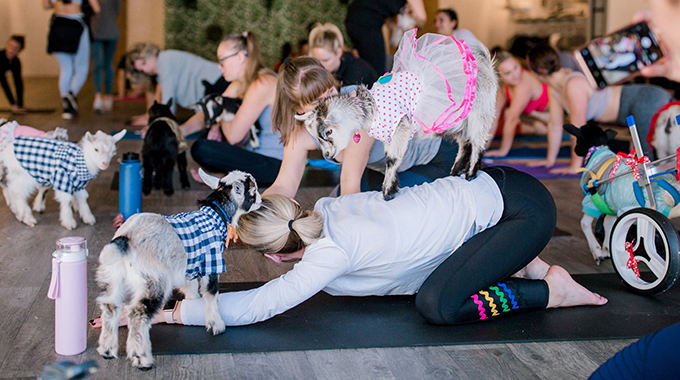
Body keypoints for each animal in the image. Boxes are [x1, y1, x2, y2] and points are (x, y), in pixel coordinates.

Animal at [97, 170, 262, 372]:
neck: (216, 214)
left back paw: (107, 350)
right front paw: (216, 324)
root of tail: (126, 238)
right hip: (155, 280)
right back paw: (143, 359)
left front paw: (193, 304)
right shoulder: (211, 263)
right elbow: (211, 295)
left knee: (110, 306)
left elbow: (191, 290)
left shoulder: (189, 267)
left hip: (113, 277)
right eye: (252, 190)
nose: (261, 199)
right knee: (138, 314)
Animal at [294, 29, 496, 200]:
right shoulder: (389, 135)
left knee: (478, 139)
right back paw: (456, 170)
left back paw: (471, 173)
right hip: (452, 121)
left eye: (328, 132)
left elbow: (392, 159)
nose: (328, 154)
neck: (369, 107)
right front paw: (391, 187)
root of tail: (486, 64)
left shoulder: (401, 127)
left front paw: (387, 192)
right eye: (315, 137)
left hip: (480, 110)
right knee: (464, 141)